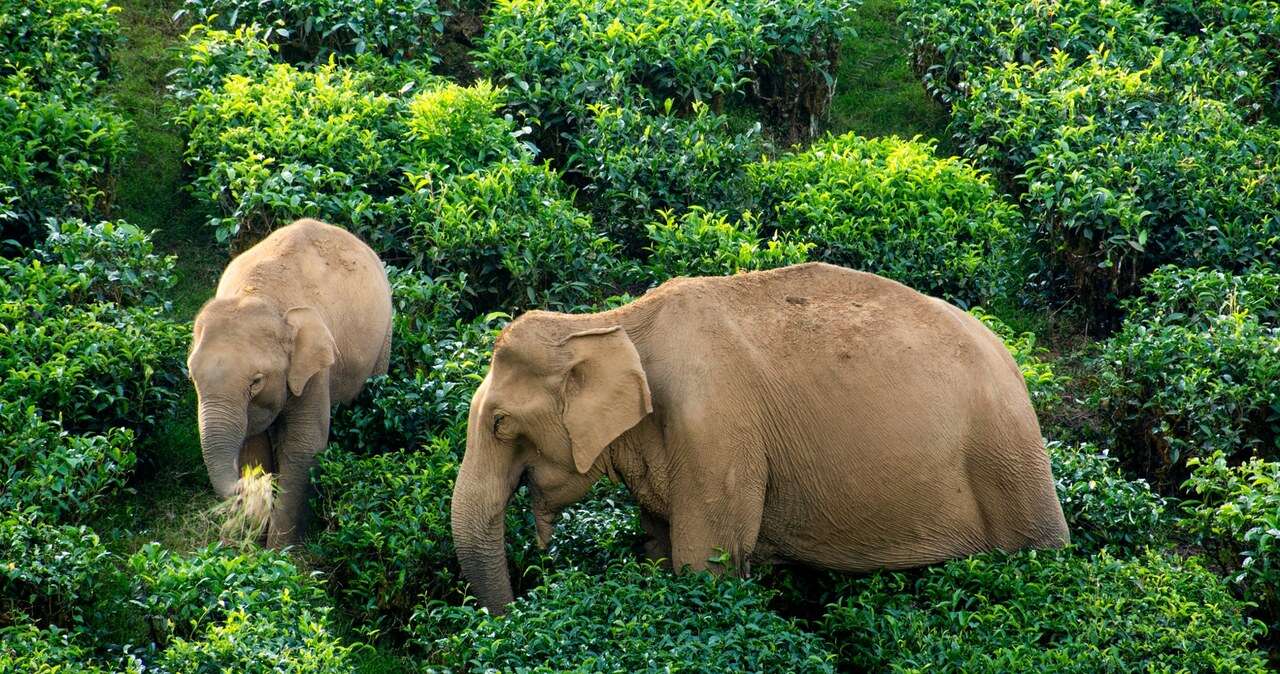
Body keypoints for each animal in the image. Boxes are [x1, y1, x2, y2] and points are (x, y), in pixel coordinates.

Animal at [186, 221, 391, 547]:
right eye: (191, 376)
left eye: (256, 381)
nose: (244, 485)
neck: (260, 295)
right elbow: (253, 444)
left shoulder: (315, 367)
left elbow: (303, 443)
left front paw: (279, 552)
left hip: (384, 338)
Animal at [450, 262, 1070, 611]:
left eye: (500, 423)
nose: (518, 611)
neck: (609, 321)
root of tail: (1017, 364)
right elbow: (658, 550)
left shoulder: (715, 429)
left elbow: (704, 568)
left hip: (1005, 454)